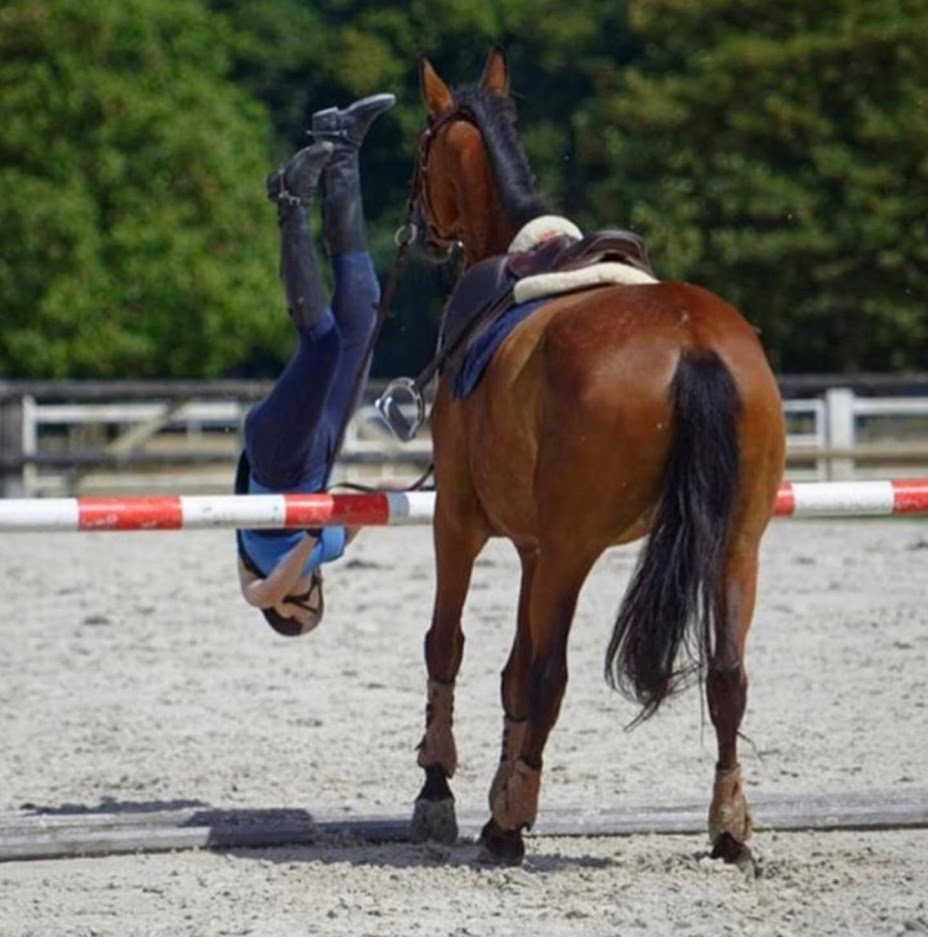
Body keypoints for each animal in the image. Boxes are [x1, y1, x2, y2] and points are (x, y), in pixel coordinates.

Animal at [406, 47, 784, 868]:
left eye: (421, 149)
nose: (418, 231)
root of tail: (693, 343)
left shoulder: (461, 522)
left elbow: (452, 647)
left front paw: (440, 790)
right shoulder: (534, 545)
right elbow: (512, 673)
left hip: (575, 547)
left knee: (552, 674)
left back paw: (508, 826)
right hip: (736, 543)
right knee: (728, 675)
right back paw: (728, 828)